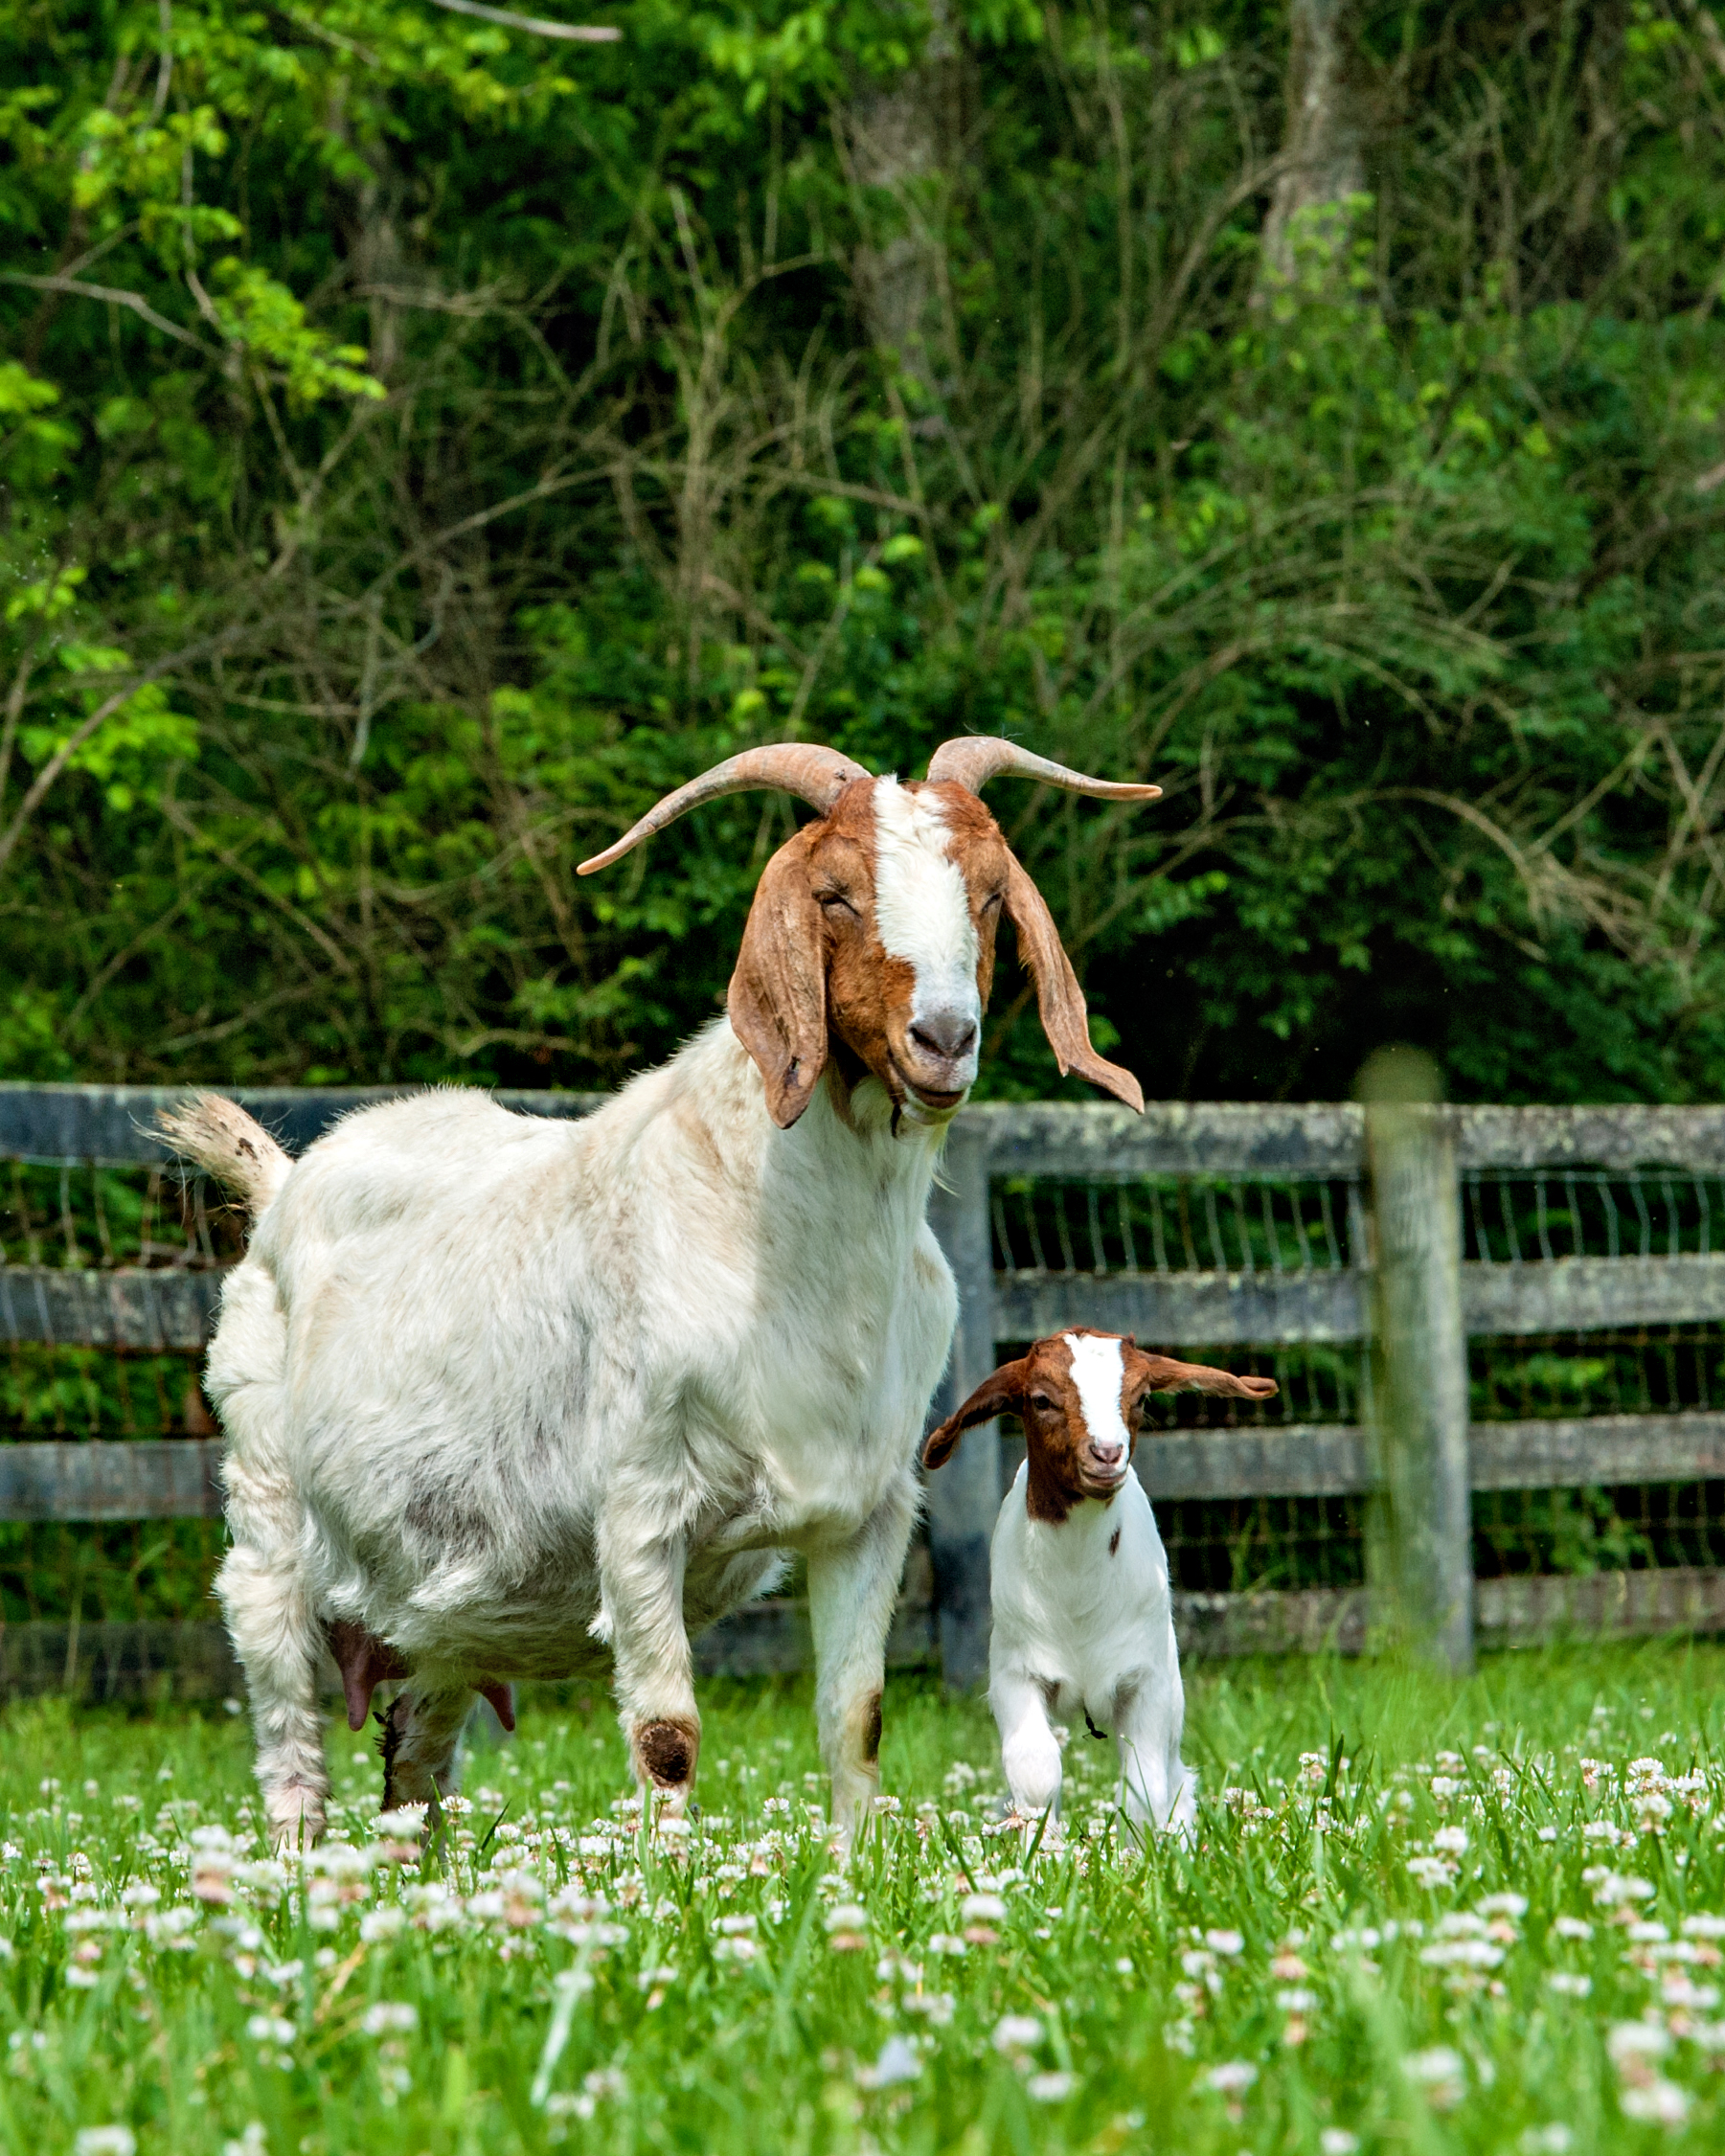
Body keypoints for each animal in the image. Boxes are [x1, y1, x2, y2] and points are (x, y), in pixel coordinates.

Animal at [161, 737, 1155, 1836]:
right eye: (835, 893)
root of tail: (283, 1184)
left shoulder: (872, 1510)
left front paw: (855, 1869)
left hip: (440, 1607)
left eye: (987, 894)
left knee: (411, 1770)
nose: (941, 1038)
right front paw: (672, 1876)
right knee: (289, 1747)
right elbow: (666, 1735)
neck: (783, 1241)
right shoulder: (639, 1504)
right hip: (268, 1527)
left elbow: (856, 1719)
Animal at [922, 1328, 1276, 1836]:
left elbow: (1144, 1783)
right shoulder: (1014, 1668)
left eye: (1142, 1398)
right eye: (1041, 1399)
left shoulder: (1147, 1677)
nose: (1107, 1454)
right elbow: (1035, 1769)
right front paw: (1044, 1845)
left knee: (1173, 1776)